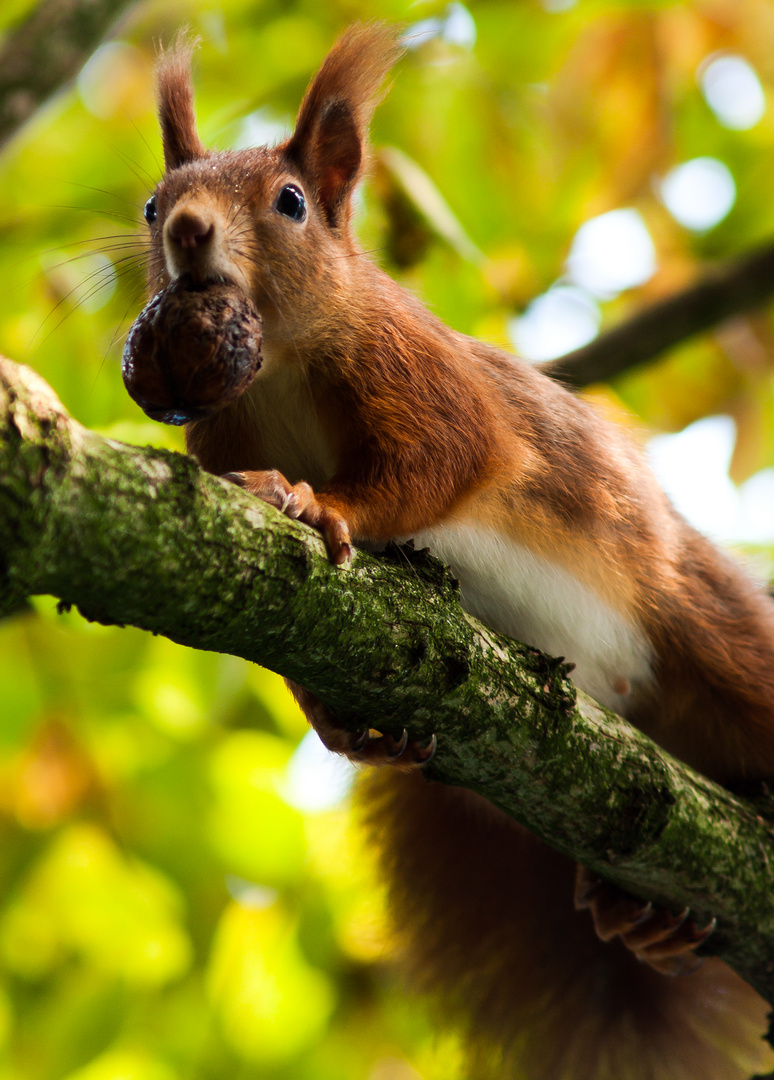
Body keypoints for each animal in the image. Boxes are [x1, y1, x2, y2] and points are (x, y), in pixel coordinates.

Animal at [131, 23, 772, 1080]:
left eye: (290, 202)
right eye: (151, 204)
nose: (185, 231)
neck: (278, 364)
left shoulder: (417, 370)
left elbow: (452, 455)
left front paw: (319, 500)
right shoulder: (219, 445)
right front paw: (344, 723)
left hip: (711, 632)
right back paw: (649, 915)